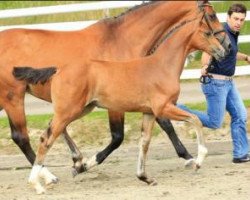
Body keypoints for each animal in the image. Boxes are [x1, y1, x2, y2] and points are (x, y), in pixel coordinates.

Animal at [13, 1, 229, 194]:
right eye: (209, 26)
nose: (224, 50)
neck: (161, 64)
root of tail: (57, 69)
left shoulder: (149, 113)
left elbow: (145, 142)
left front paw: (145, 177)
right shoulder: (163, 107)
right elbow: (195, 120)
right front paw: (198, 160)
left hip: (80, 109)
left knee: (48, 133)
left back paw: (70, 167)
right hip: (64, 109)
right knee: (44, 139)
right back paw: (40, 184)